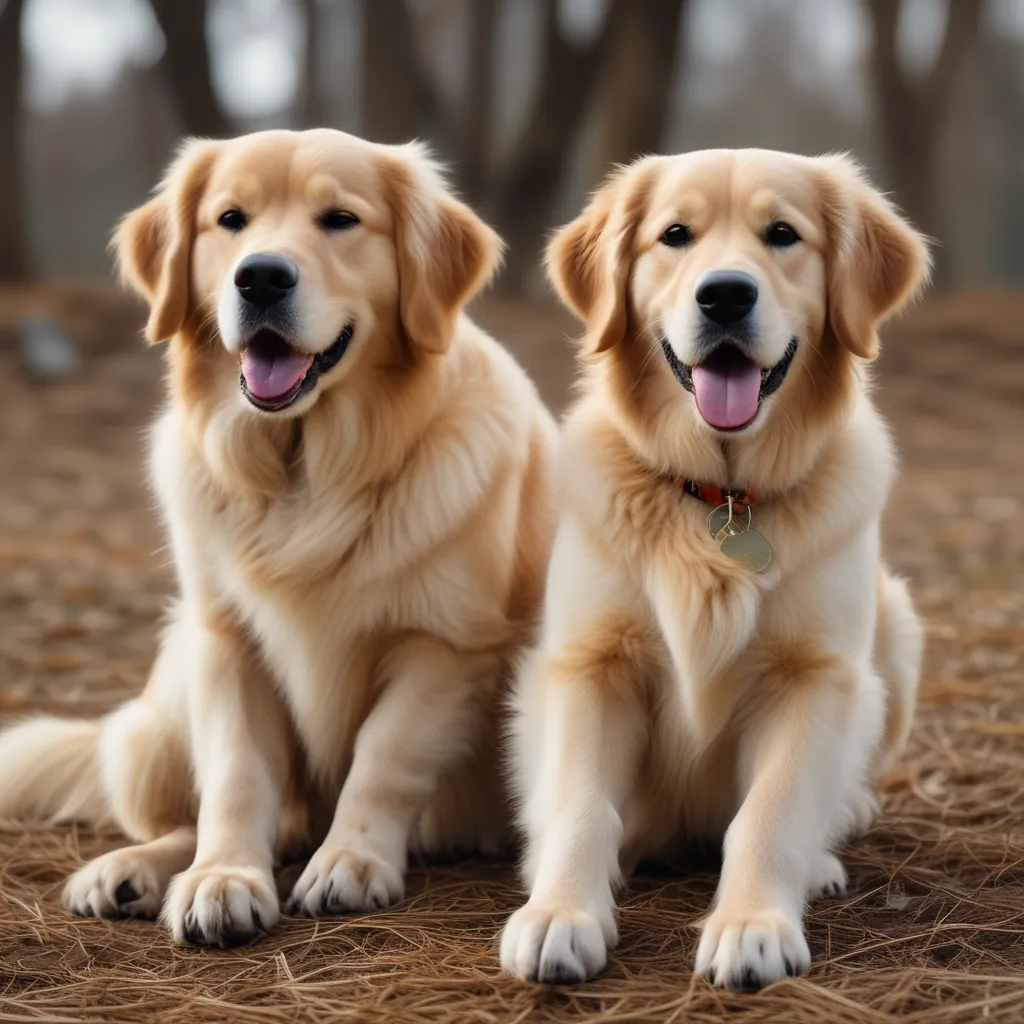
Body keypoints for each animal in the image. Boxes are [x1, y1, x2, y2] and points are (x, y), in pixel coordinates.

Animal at [0, 132, 557, 946]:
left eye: (340, 219)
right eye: (231, 218)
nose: (260, 276)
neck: (307, 474)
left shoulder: (446, 647)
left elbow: (383, 755)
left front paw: (351, 861)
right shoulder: (228, 640)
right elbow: (236, 774)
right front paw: (223, 877)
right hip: (165, 693)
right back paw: (130, 870)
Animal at [499, 148, 933, 987]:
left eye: (782, 234)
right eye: (676, 235)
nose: (725, 294)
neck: (721, 495)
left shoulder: (814, 676)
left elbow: (769, 813)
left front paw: (753, 924)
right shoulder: (588, 665)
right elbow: (580, 803)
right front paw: (561, 912)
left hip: (893, 629)